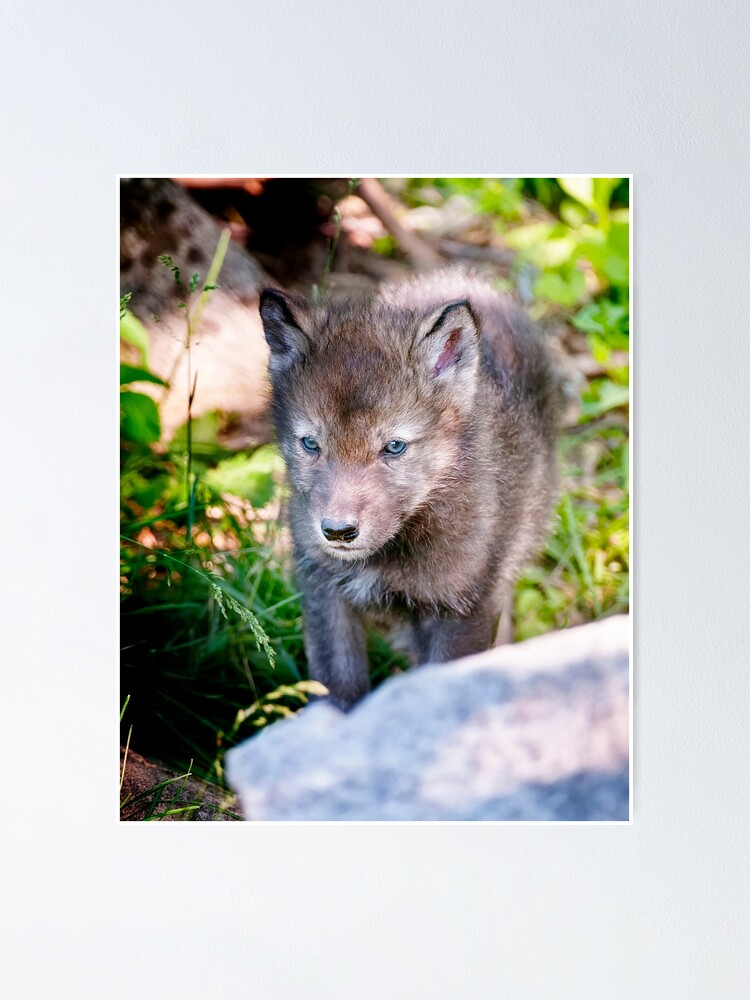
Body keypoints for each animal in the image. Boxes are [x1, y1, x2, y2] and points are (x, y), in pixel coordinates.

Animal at [259, 271, 562, 709]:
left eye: (395, 447)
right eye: (311, 444)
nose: (337, 532)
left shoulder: (462, 606)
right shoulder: (323, 591)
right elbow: (337, 687)